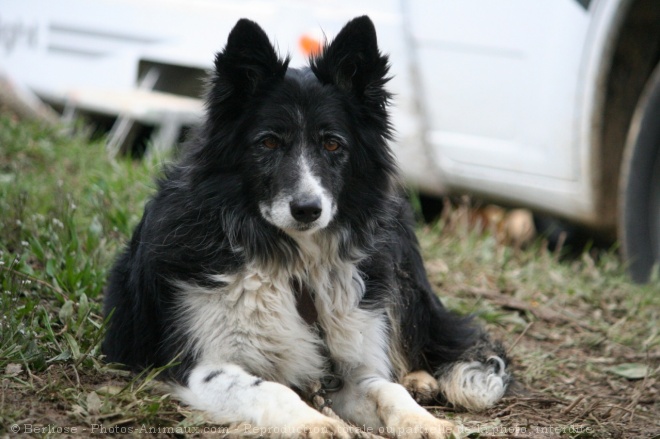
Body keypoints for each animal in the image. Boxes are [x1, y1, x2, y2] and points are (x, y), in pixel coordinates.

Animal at [104, 14, 510, 439]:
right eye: (268, 143)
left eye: (332, 145)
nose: (307, 210)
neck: (296, 264)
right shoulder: (201, 365)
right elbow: (270, 389)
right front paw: (316, 422)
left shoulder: (347, 366)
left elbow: (386, 388)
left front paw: (423, 420)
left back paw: (420, 379)